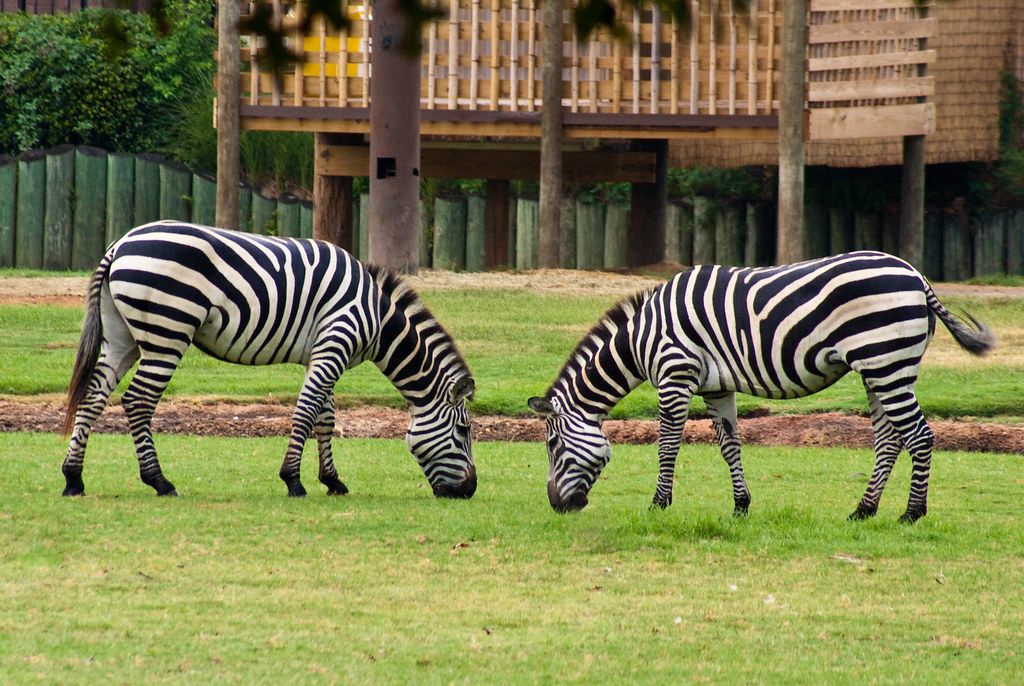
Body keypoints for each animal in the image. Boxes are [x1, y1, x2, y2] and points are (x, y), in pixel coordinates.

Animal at [61, 221, 477, 499]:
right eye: (464, 430)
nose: (469, 491)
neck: (376, 317)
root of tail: (120, 244)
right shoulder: (335, 343)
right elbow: (306, 413)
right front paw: (293, 481)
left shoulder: (322, 353)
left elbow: (325, 418)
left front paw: (332, 481)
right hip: (167, 331)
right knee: (138, 401)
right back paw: (159, 482)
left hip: (123, 336)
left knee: (94, 396)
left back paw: (73, 478)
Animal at [529, 251, 994, 523]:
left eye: (552, 445)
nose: (557, 507)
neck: (644, 337)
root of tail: (917, 276)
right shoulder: (715, 387)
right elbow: (729, 446)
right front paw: (741, 506)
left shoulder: (675, 375)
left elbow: (667, 446)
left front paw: (658, 505)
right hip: (879, 367)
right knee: (889, 439)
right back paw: (862, 510)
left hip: (886, 362)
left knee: (919, 437)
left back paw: (911, 514)